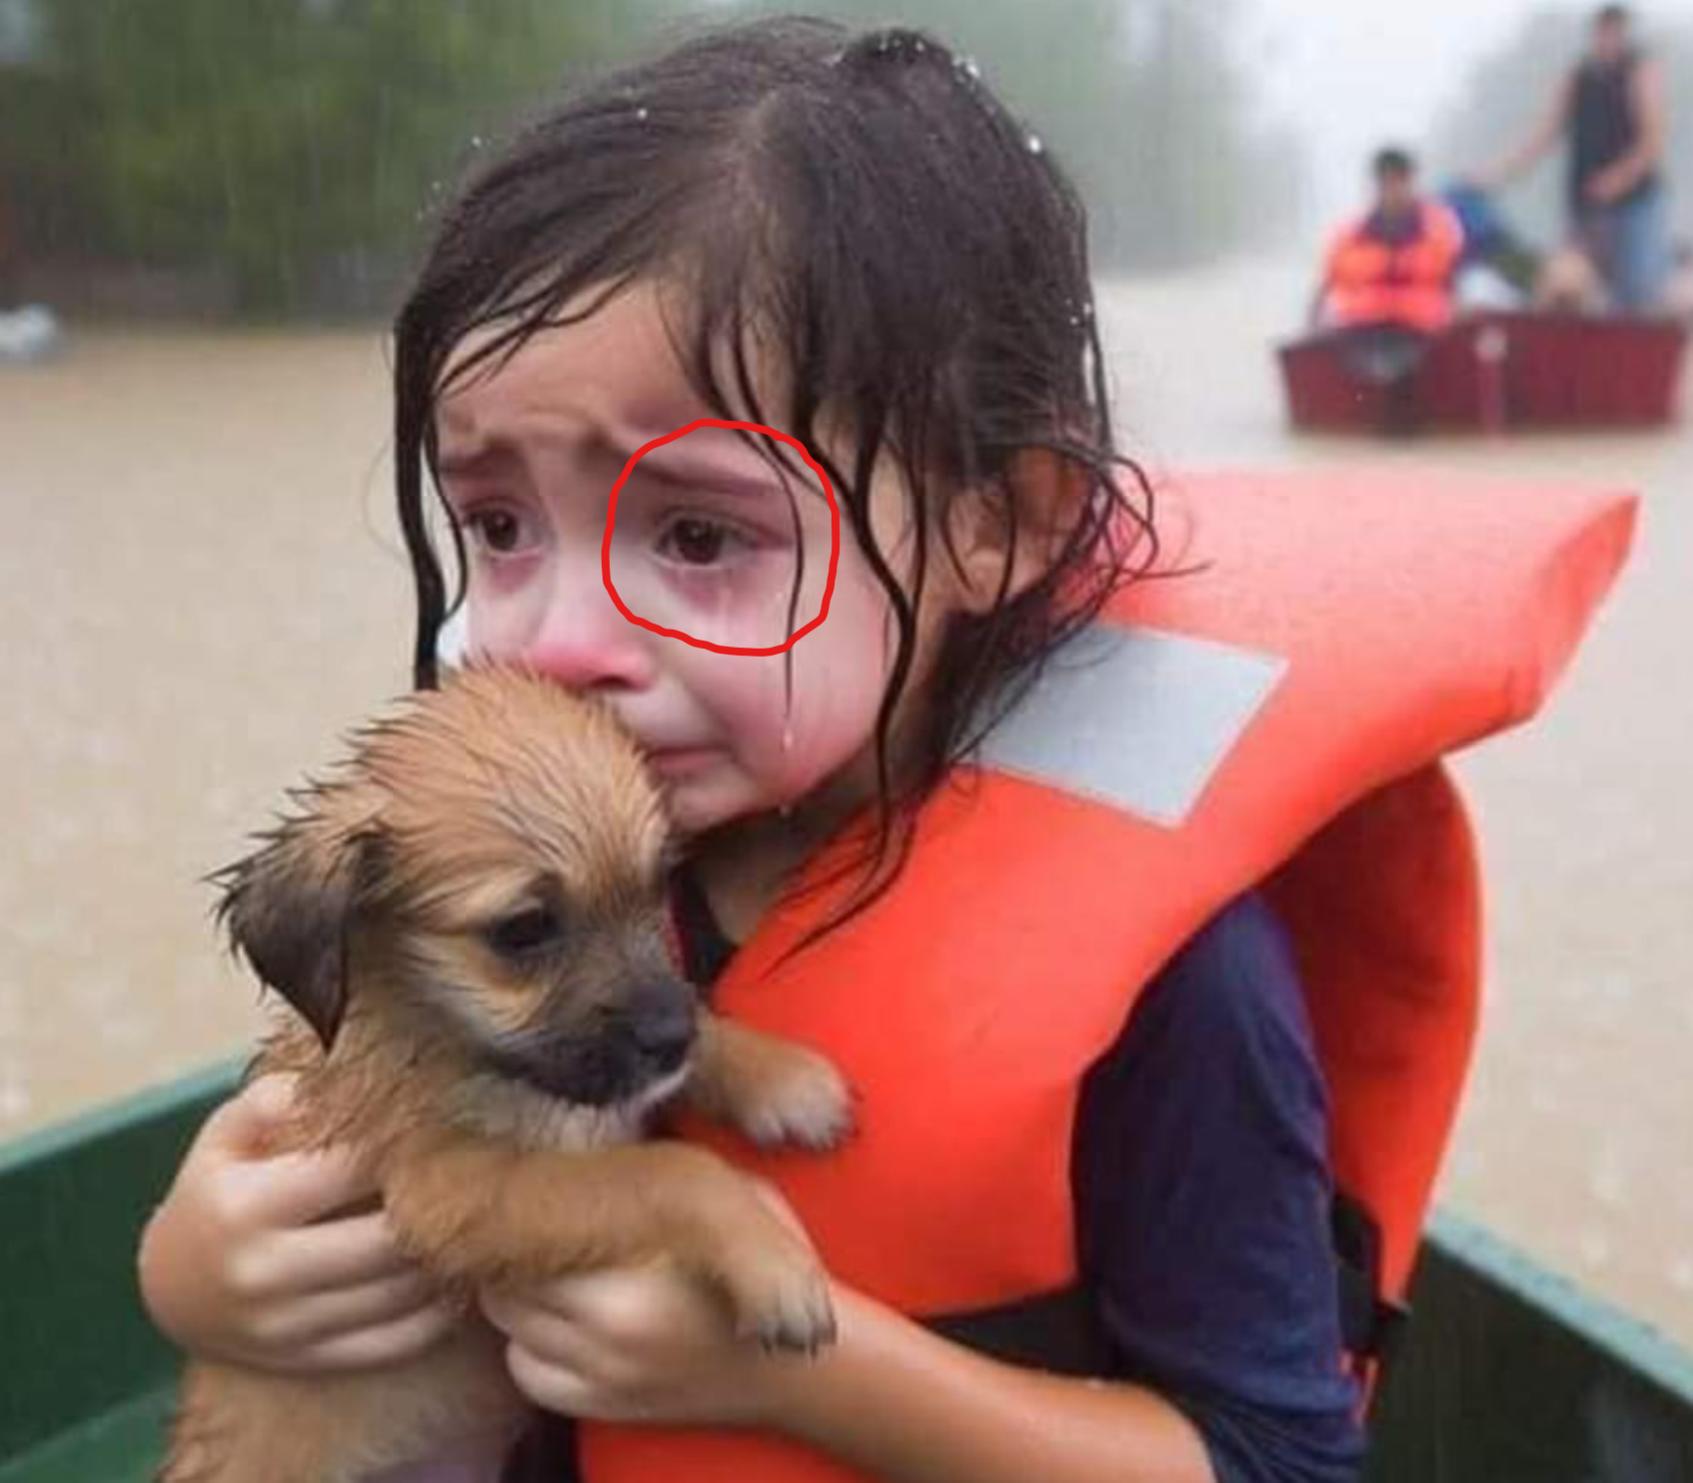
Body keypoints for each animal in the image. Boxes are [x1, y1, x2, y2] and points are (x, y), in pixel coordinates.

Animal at [160, 665, 852, 1483]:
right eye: (523, 929)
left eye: (659, 883)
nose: (669, 1039)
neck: (441, 1034)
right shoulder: (451, 1188)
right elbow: (663, 1171)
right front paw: (773, 1262)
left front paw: (783, 1079)